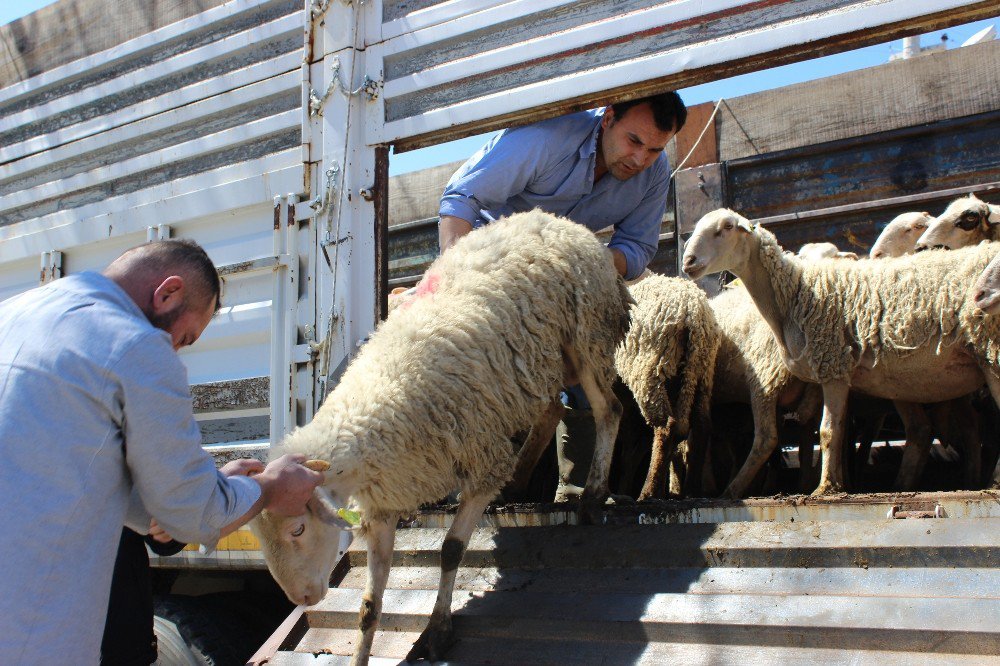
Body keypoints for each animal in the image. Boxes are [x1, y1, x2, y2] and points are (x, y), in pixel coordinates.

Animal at [250, 209, 628, 664]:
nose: (303, 598)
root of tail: (551, 218)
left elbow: (450, 550)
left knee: (609, 410)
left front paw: (438, 628)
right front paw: (362, 651)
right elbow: (368, 607)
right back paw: (523, 478)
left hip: (586, 334)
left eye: (298, 530)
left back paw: (593, 493)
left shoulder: (482, 463)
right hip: (537, 362)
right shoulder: (383, 505)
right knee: (551, 408)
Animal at [612, 272, 724, 496]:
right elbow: (630, 450)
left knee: (666, 427)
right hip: (700, 372)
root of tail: (693, 311)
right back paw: (690, 490)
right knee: (700, 425)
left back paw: (648, 492)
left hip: (651, 370)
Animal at [684, 208, 1000, 492]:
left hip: (989, 351)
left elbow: (827, 432)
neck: (796, 293)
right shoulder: (840, 373)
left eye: (726, 228)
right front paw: (837, 481)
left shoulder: (832, 366)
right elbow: (838, 433)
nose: (687, 262)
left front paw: (824, 488)